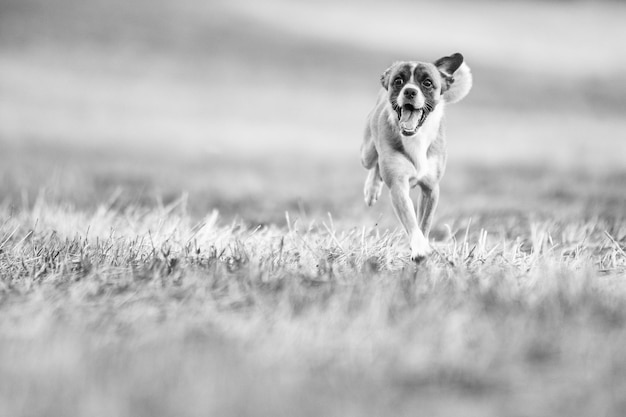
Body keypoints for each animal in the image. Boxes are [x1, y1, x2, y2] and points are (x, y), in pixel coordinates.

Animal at [360, 52, 468, 260]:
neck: (416, 137)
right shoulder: (398, 186)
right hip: (366, 152)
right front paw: (419, 249)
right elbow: (410, 220)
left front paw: (423, 245)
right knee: (374, 162)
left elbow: (424, 222)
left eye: (427, 83)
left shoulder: (431, 189)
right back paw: (371, 189)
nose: (410, 91)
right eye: (398, 81)